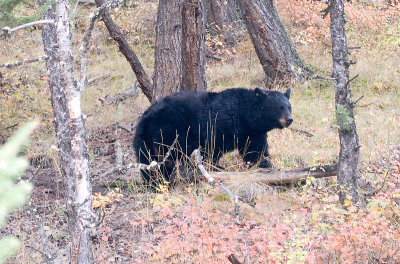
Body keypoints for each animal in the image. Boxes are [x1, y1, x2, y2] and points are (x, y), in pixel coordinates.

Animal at [133, 88, 292, 186]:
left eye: (289, 106)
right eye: (279, 108)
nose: (289, 119)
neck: (244, 115)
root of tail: (145, 116)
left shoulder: (252, 133)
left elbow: (256, 151)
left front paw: (267, 166)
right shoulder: (217, 126)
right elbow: (211, 150)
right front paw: (215, 168)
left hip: (146, 138)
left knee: (147, 159)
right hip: (166, 131)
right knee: (163, 159)